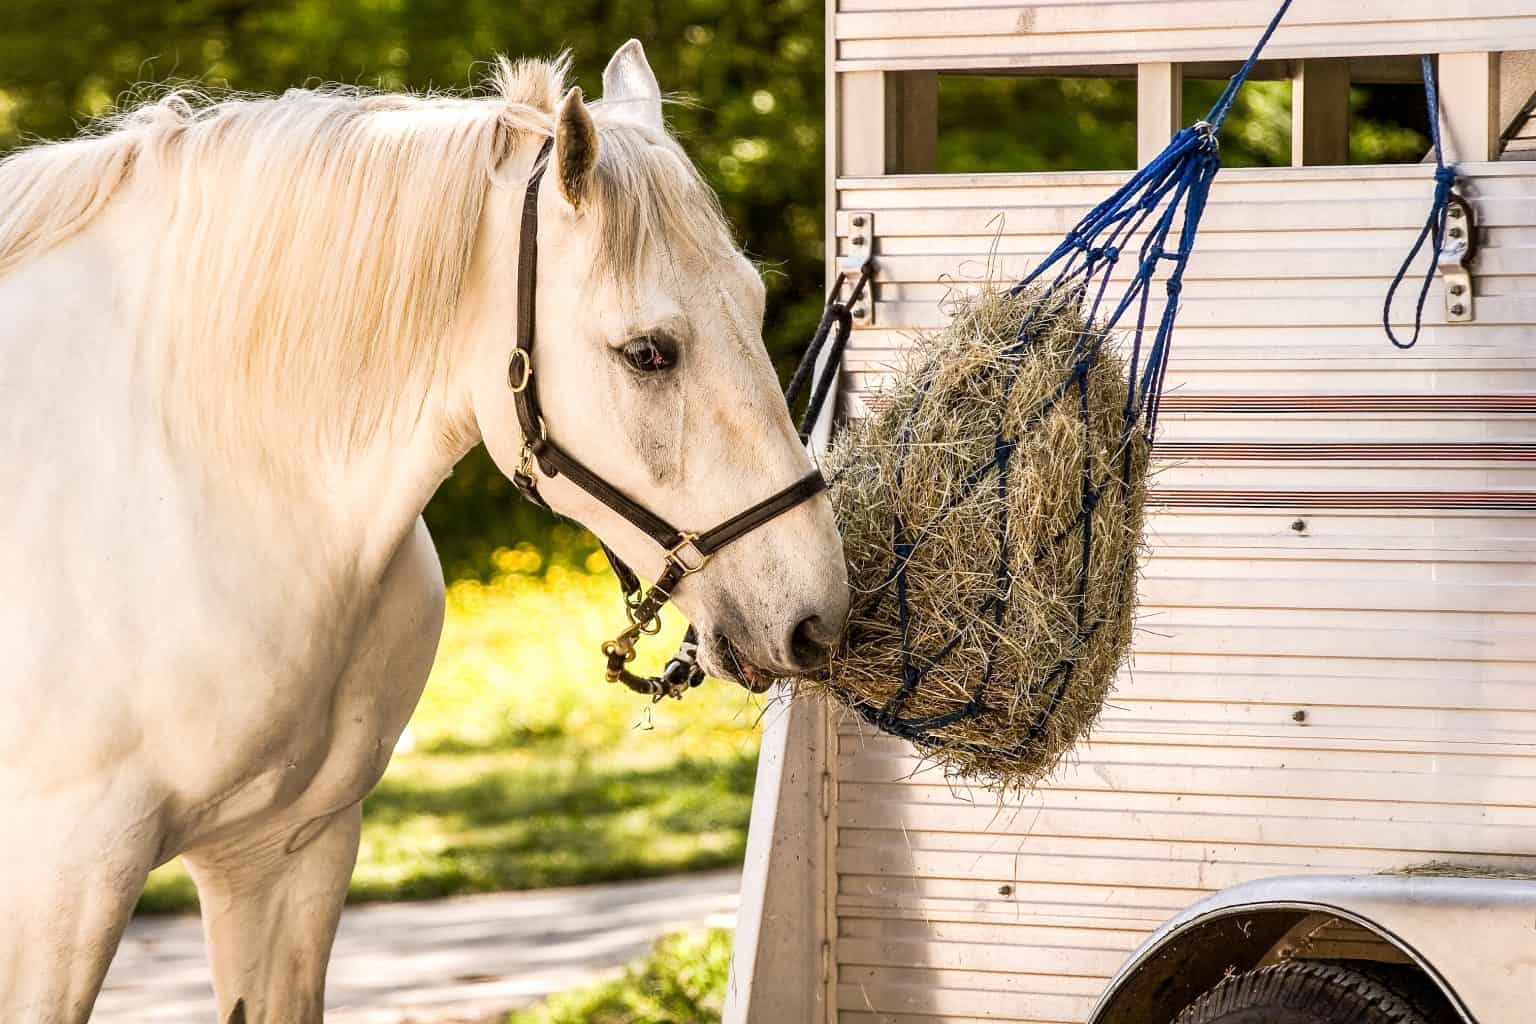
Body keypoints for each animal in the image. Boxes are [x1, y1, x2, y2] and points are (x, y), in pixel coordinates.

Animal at [0, 41, 848, 1023]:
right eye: (648, 353)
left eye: (754, 305)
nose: (819, 616)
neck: (188, 470)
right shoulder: (59, 883)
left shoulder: (288, 856)